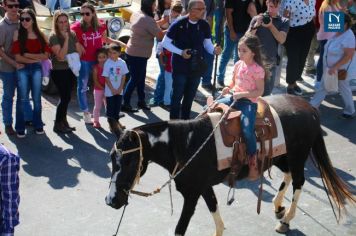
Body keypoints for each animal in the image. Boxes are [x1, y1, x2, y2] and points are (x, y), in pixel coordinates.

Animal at [104, 95, 354, 235]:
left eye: (130, 160)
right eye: (112, 158)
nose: (111, 200)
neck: (187, 145)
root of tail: (310, 108)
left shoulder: (192, 193)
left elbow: (180, 228)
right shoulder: (204, 188)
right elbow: (215, 210)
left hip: (297, 155)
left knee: (299, 181)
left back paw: (285, 220)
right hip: (281, 157)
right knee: (290, 175)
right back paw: (277, 206)